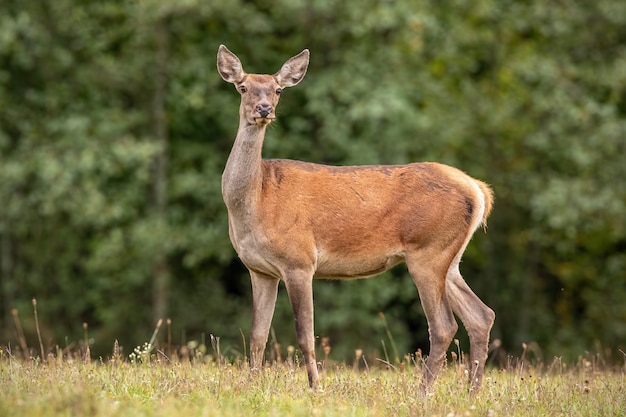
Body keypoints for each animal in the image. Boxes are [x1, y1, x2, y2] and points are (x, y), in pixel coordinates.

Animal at [217, 45, 494, 394]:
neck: (257, 199)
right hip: (450, 257)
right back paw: (472, 392)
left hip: (428, 251)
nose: (264, 108)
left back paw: (422, 393)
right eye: (243, 87)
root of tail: (478, 190)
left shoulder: (299, 261)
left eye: (278, 89)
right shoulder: (259, 270)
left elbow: (305, 335)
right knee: (481, 315)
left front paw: (315, 388)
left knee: (444, 325)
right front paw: (250, 386)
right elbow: (257, 335)